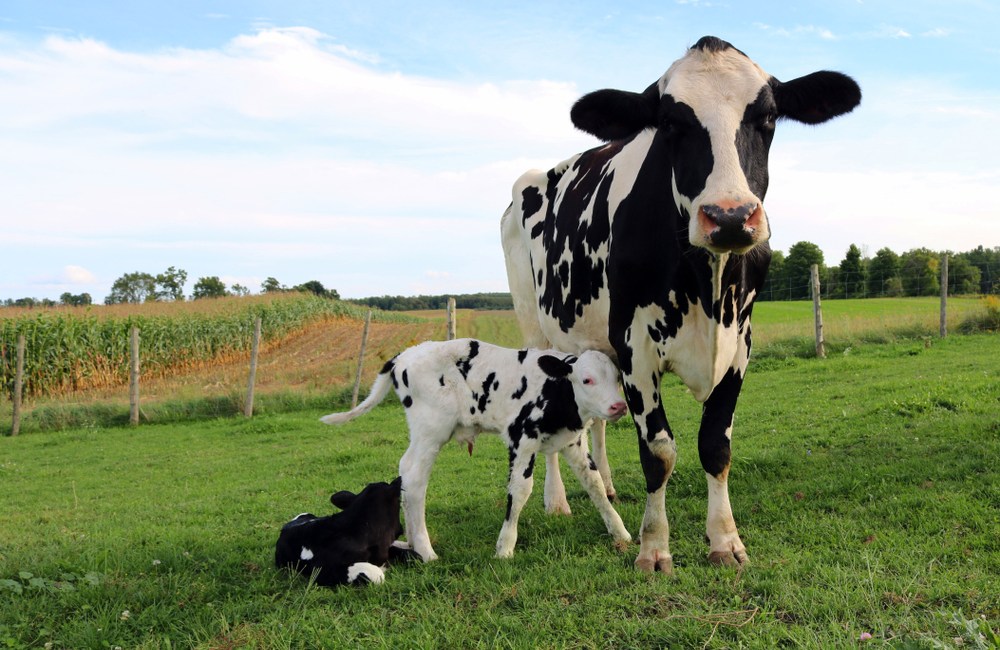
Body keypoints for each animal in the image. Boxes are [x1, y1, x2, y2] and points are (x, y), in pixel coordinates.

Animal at [320, 336, 632, 560]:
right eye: (587, 379)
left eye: (616, 377)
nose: (618, 406)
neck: (556, 391)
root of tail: (405, 355)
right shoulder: (521, 438)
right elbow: (520, 490)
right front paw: (505, 547)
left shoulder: (573, 441)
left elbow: (594, 484)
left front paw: (620, 532)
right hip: (430, 429)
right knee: (414, 476)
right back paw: (425, 550)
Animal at [500, 36, 860, 572]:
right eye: (670, 123)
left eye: (768, 117)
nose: (729, 216)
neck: (705, 286)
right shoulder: (635, 347)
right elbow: (659, 452)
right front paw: (653, 547)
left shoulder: (740, 344)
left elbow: (715, 445)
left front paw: (725, 541)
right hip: (535, 325)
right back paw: (556, 500)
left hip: (594, 345)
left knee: (598, 420)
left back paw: (606, 483)